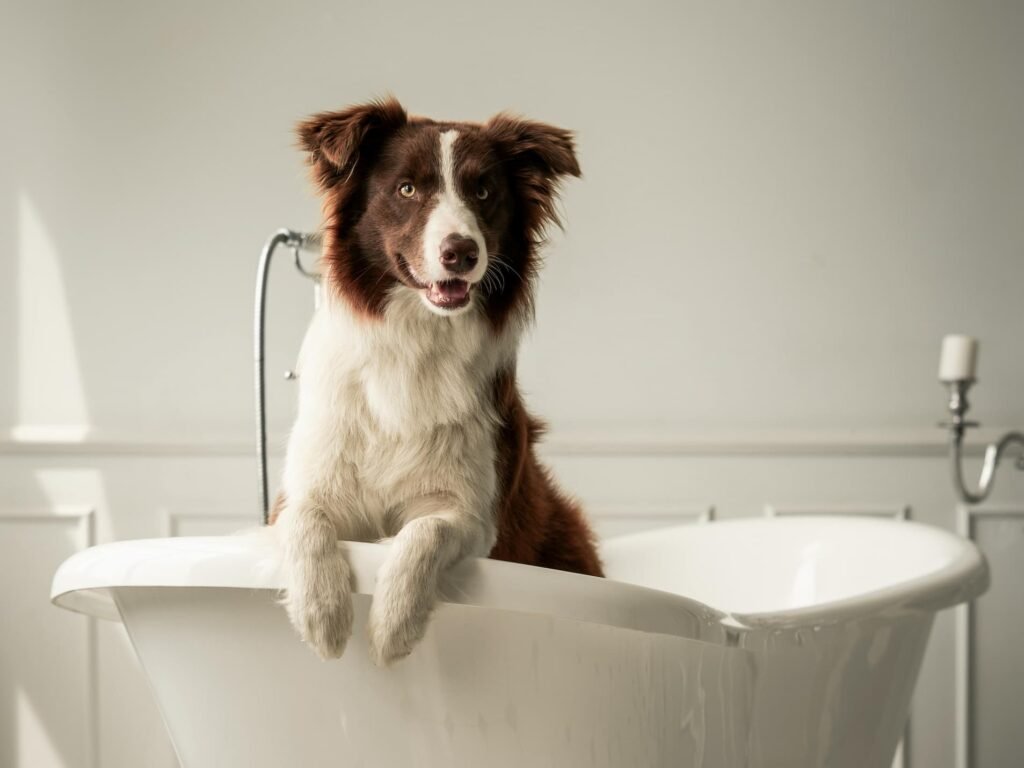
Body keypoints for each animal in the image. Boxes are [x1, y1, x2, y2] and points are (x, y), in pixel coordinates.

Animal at [274, 97, 606, 667]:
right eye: (407, 188)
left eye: (484, 192)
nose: (461, 252)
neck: (416, 339)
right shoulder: (307, 486)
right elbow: (304, 519)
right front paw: (322, 614)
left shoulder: (475, 513)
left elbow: (425, 530)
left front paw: (392, 624)